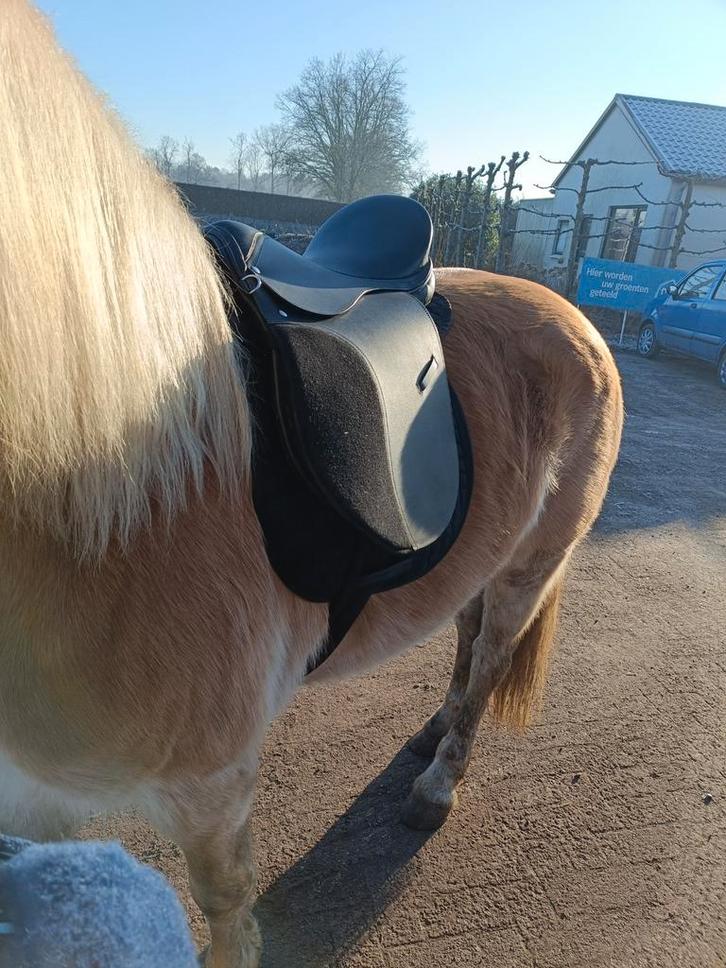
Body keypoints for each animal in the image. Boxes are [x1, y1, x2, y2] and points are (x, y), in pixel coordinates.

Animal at [0, 3, 623, 966]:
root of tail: (572, 314)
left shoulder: (210, 787)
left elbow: (228, 917)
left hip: (535, 563)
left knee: (490, 654)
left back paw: (438, 783)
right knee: (467, 628)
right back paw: (433, 729)